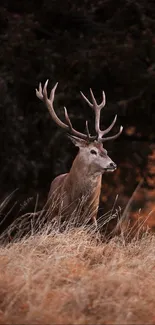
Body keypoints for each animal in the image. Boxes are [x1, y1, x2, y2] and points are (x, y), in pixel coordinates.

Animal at [35, 79, 123, 227]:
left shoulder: (92, 217)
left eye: (105, 150)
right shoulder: (60, 215)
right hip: (48, 214)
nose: (113, 164)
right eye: (93, 151)